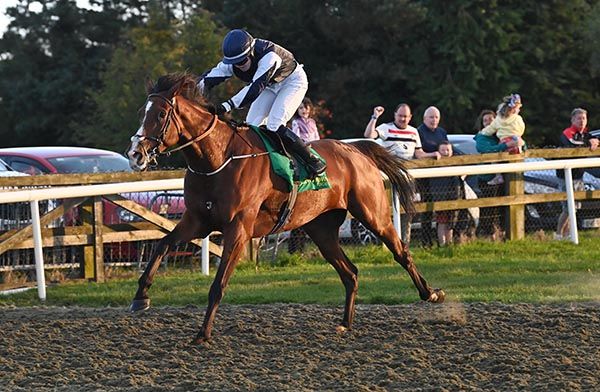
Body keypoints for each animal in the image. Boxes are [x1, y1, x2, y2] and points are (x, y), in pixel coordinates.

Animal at [127, 71, 446, 344]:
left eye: (160, 114)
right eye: (142, 113)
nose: (135, 154)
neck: (218, 159)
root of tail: (355, 149)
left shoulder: (238, 228)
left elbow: (218, 285)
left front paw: (202, 334)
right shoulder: (197, 220)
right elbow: (162, 245)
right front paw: (141, 296)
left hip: (372, 214)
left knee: (401, 252)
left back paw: (431, 294)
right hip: (321, 230)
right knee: (350, 272)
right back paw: (346, 323)